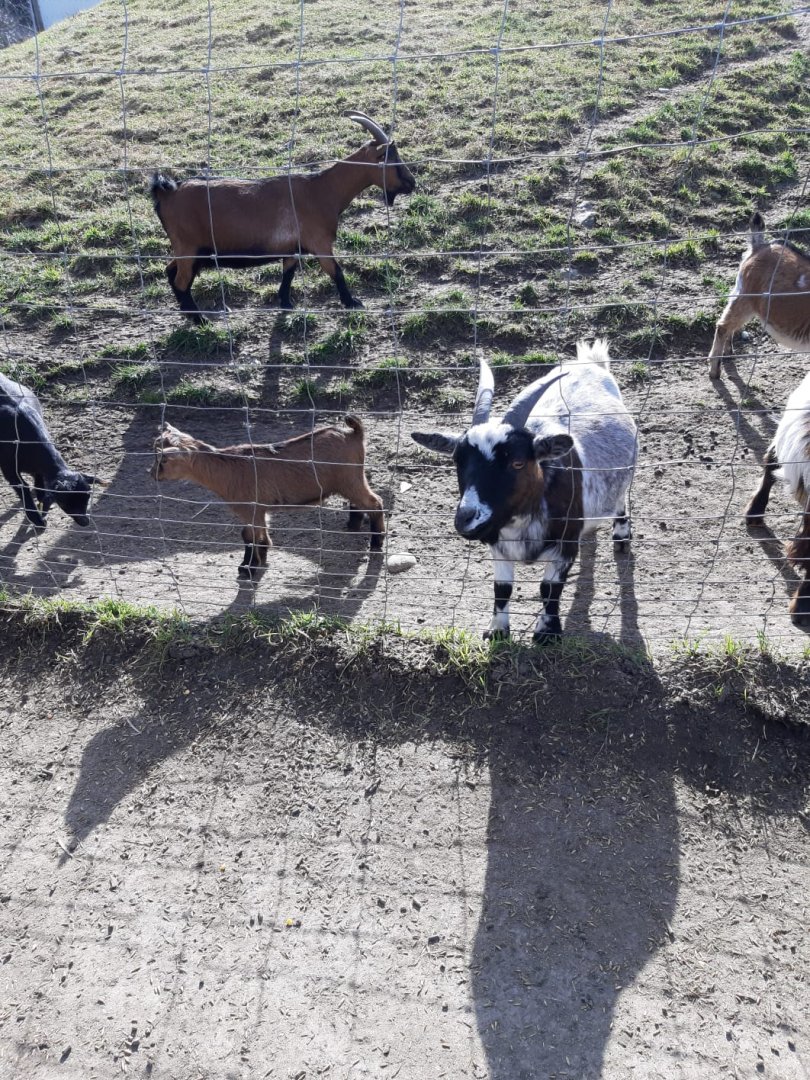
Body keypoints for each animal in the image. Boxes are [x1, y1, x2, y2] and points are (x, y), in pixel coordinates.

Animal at [0, 372, 95, 532]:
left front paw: (41, 498)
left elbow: (39, 481)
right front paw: (38, 520)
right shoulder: (9, 469)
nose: (85, 522)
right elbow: (23, 489)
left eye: (87, 498)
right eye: (64, 503)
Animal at [150, 416, 384, 580]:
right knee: (362, 502)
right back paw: (354, 524)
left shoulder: (251, 509)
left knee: (375, 503)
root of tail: (353, 433)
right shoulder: (258, 510)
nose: (150, 473)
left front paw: (249, 568)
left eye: (164, 460)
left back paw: (377, 541)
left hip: (350, 479)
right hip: (352, 480)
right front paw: (258, 560)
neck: (227, 469)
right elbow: (255, 536)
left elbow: (251, 536)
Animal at [151, 111, 415, 322]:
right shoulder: (320, 243)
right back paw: (199, 321)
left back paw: (189, 314)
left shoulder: (292, 248)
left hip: (190, 250)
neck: (322, 190)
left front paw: (287, 304)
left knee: (171, 272)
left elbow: (288, 274)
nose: (412, 183)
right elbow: (336, 272)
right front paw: (352, 303)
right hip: (189, 247)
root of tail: (167, 192)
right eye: (390, 159)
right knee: (181, 281)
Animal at [411, 340, 638, 644]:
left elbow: (549, 589)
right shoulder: (498, 546)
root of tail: (591, 363)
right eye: (458, 460)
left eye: (517, 462)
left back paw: (621, 535)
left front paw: (547, 633)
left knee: (621, 497)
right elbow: (502, 589)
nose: (466, 519)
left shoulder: (565, 547)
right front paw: (497, 631)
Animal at [709, 212, 810, 379]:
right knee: (723, 326)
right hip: (746, 296)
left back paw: (728, 353)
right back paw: (714, 371)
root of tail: (760, 246)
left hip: (740, 292)